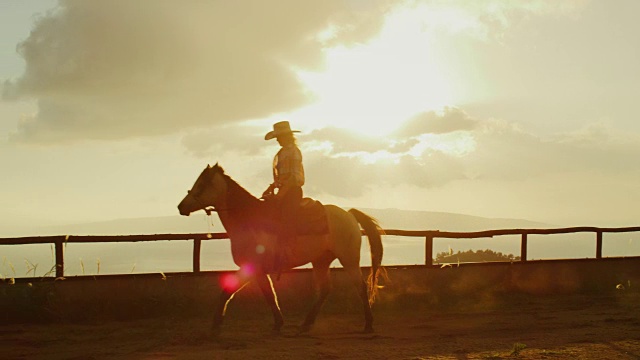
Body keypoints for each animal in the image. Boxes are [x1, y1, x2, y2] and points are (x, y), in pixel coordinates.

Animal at [176, 164, 384, 334]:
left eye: (201, 184)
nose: (180, 206)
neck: (249, 220)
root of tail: (349, 214)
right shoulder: (259, 270)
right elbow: (269, 294)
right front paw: (278, 322)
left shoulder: (251, 267)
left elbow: (228, 291)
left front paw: (216, 323)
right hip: (320, 261)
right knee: (324, 289)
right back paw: (306, 323)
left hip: (349, 259)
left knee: (360, 286)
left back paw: (368, 324)